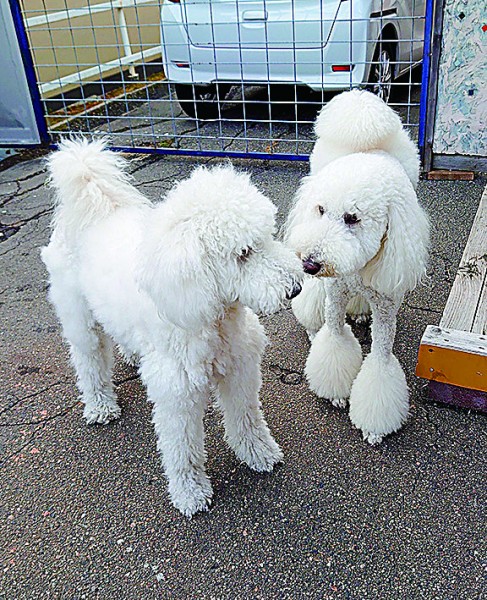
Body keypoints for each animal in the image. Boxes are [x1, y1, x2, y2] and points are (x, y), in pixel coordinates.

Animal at [42, 138, 304, 512]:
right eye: (243, 253)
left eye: (269, 235)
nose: (295, 288)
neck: (214, 316)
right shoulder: (176, 394)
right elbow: (183, 449)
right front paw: (190, 492)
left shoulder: (240, 368)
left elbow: (246, 418)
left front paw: (258, 453)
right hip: (79, 318)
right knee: (88, 360)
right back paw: (100, 406)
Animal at [288, 90, 428, 446]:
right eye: (320, 210)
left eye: (352, 218)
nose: (310, 264)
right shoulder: (335, 291)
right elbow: (334, 336)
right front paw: (336, 393)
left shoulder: (386, 298)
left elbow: (379, 360)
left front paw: (373, 425)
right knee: (314, 311)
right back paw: (314, 329)